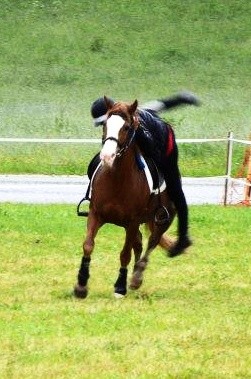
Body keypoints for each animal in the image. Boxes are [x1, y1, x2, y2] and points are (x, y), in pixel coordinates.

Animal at [74, 98, 176, 300]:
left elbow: (124, 254)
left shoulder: (132, 221)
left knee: (151, 242)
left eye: (127, 127)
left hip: (161, 220)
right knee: (139, 243)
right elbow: (88, 245)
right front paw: (81, 284)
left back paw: (136, 278)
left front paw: (120, 287)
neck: (117, 179)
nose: (107, 156)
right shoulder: (95, 214)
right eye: (105, 124)